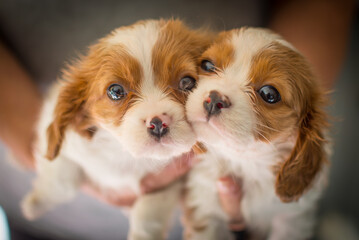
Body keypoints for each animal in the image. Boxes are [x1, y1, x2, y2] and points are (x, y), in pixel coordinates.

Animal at [21, 19, 211, 240]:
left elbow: (149, 211)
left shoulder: (170, 180)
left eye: (187, 82)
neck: (127, 155)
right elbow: (62, 177)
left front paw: (142, 234)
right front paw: (35, 203)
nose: (157, 123)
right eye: (116, 90)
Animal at [186, 27, 332, 239]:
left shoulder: (291, 220)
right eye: (207, 65)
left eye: (269, 94)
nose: (214, 99)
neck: (247, 163)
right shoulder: (203, 204)